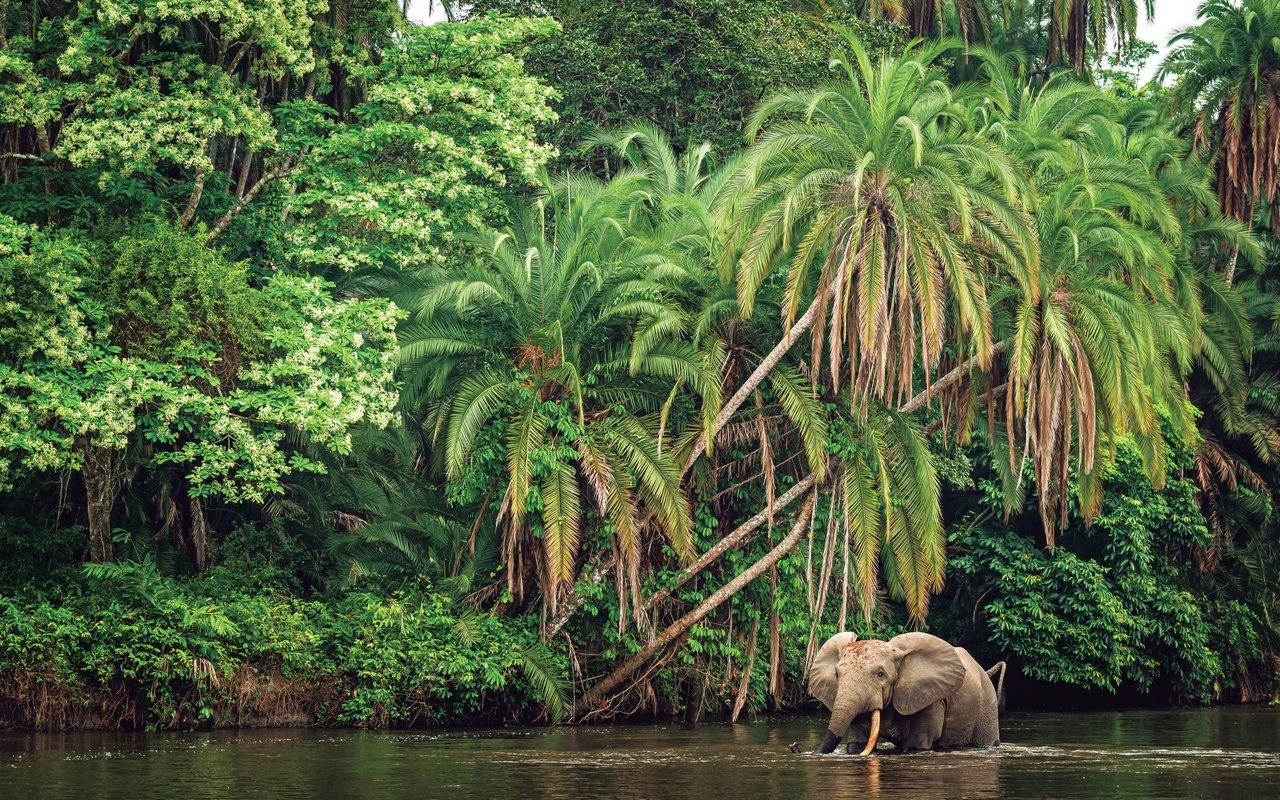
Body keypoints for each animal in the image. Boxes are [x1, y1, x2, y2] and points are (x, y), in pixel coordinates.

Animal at [803, 629, 1003, 752]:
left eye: (881, 674)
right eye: (837, 674)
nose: (796, 746)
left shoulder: (930, 698)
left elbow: (917, 745)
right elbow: (857, 744)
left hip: (987, 702)